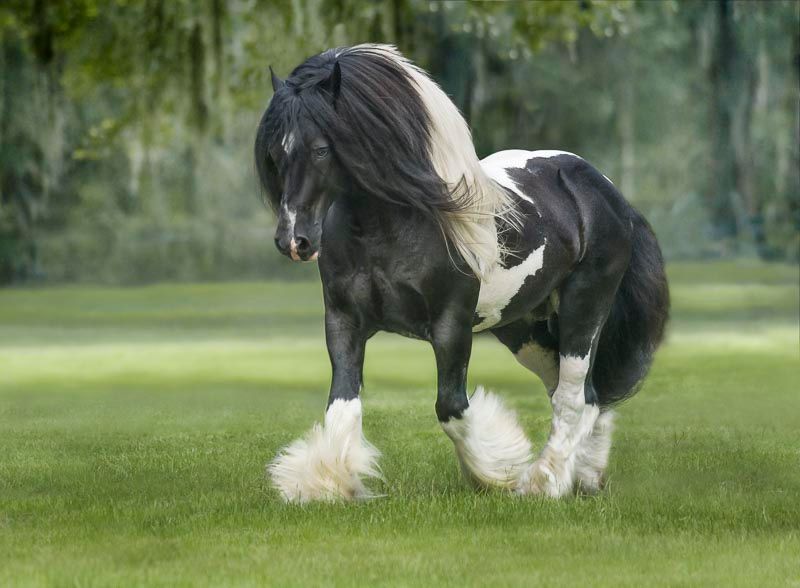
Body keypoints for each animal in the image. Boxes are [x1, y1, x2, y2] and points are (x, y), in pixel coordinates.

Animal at [256, 44, 669, 502]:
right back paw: (585, 477)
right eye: (274, 153)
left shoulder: (450, 326)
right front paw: (326, 483)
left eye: (321, 149)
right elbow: (342, 407)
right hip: (525, 329)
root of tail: (607, 191)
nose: (294, 240)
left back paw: (543, 483)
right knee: (584, 395)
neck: (393, 227)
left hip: (585, 307)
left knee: (572, 398)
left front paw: (498, 471)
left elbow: (451, 408)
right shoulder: (343, 322)